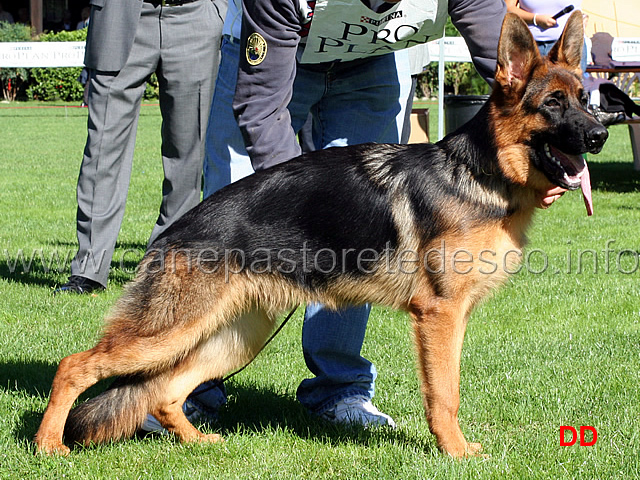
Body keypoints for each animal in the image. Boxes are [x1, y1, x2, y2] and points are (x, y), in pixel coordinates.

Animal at [36, 12, 608, 458]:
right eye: (553, 104)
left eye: (586, 99)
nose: (601, 135)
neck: (480, 173)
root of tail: (172, 233)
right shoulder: (439, 316)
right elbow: (445, 394)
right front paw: (456, 452)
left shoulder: (452, 317)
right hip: (172, 332)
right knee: (74, 365)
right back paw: (47, 445)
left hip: (235, 336)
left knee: (164, 392)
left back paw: (198, 442)